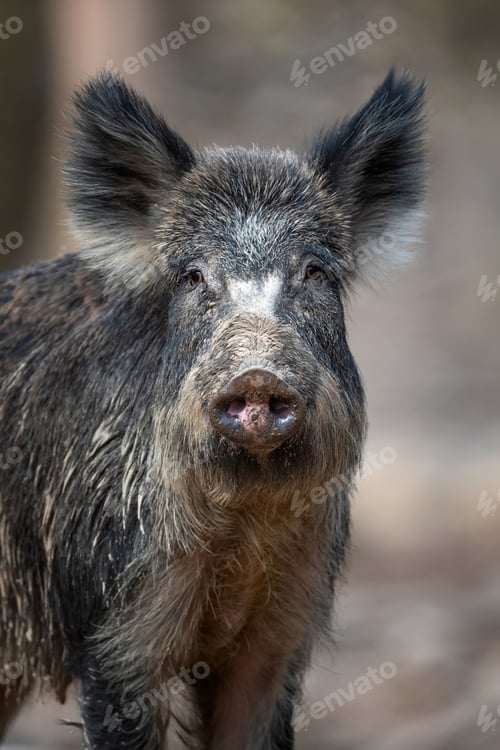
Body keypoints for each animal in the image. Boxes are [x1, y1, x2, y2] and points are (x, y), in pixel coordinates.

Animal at [0, 69, 426, 749]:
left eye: (315, 272)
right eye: (194, 276)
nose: (255, 374)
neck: (243, 526)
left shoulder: (283, 634)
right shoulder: (113, 629)